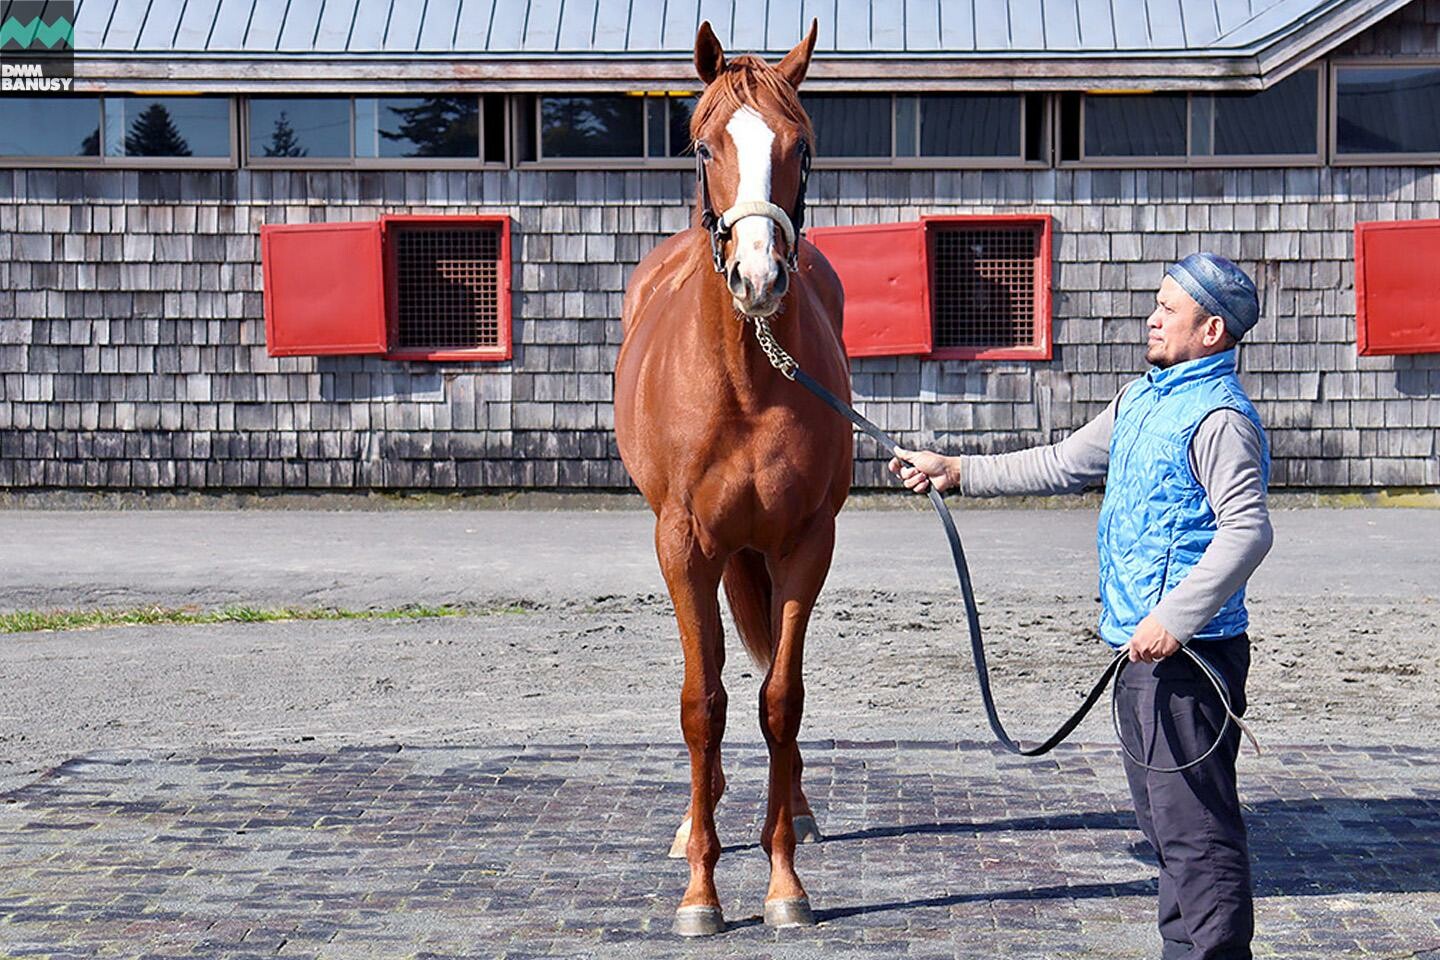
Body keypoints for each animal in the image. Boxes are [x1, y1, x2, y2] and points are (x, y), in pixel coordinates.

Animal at [610, 20, 846, 938]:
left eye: (801, 147)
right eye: (706, 145)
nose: (758, 276)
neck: (746, 379)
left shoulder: (805, 545)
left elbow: (781, 699)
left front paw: (783, 884)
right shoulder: (683, 547)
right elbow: (700, 704)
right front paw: (701, 891)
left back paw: (797, 814)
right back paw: (693, 819)